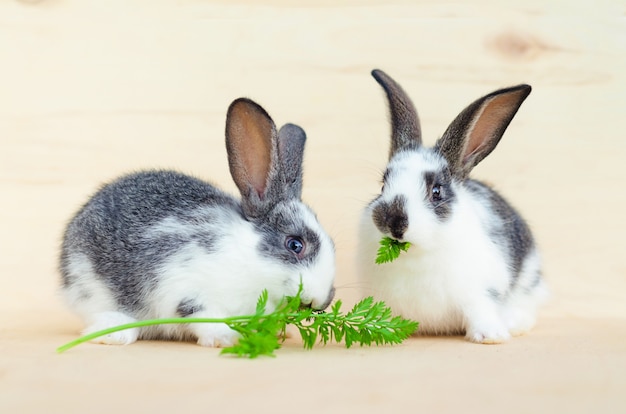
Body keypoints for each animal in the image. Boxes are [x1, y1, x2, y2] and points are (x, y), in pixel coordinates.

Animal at [59, 97, 336, 346]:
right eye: (295, 244)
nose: (323, 300)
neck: (246, 257)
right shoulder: (186, 290)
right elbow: (205, 318)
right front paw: (227, 338)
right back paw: (114, 335)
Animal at [356, 69, 544, 344]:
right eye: (383, 185)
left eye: (436, 192)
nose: (394, 222)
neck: (417, 255)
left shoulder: (479, 294)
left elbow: (480, 311)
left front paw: (490, 336)